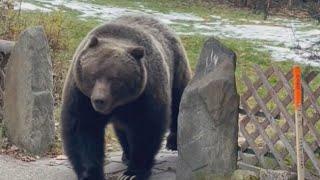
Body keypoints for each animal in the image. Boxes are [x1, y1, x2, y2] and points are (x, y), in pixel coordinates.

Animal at [61, 14, 191, 179]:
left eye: (115, 79)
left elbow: (146, 129)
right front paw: (91, 173)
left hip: (176, 68)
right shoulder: (81, 94)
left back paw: (173, 142)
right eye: (93, 75)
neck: (120, 103)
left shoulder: (146, 93)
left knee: (178, 104)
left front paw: (133, 172)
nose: (99, 100)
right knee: (122, 128)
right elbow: (82, 129)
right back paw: (126, 154)